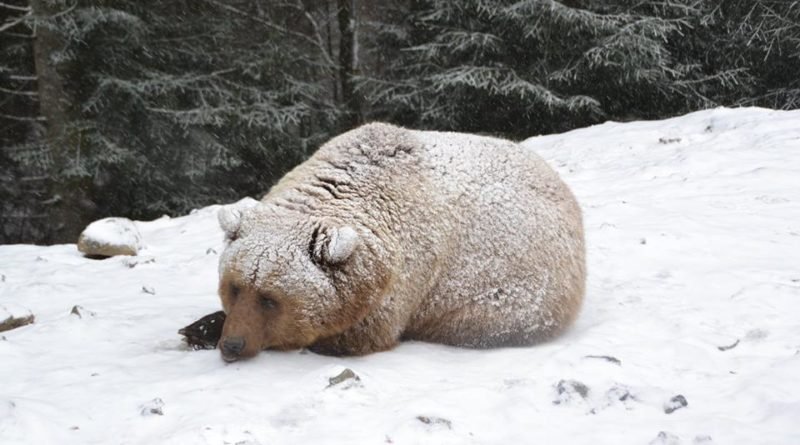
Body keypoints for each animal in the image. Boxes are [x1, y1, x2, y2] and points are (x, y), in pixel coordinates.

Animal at [216, 121, 584, 360]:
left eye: (270, 299)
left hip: (516, 291)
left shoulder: (404, 276)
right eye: (235, 287)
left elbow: (358, 335)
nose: (232, 345)